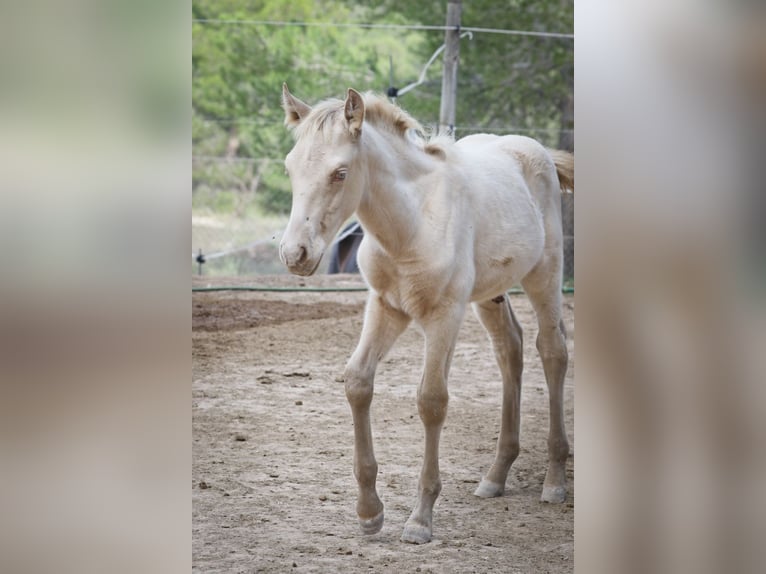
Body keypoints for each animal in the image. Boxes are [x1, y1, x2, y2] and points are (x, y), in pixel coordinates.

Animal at [280, 84, 572, 544]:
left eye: (340, 172)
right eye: (290, 168)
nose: (295, 255)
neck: (411, 224)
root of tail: (536, 150)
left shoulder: (444, 314)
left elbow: (432, 400)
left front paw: (420, 519)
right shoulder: (385, 306)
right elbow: (358, 382)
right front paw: (369, 512)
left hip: (545, 273)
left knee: (553, 350)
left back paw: (555, 480)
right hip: (490, 294)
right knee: (511, 349)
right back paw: (496, 475)